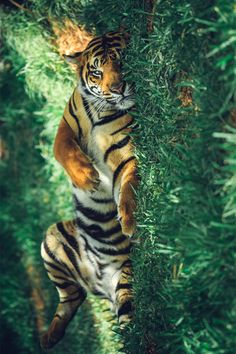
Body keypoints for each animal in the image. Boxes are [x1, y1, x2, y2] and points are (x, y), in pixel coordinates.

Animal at [39, 29, 137, 348]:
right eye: (97, 71)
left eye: (123, 59)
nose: (118, 88)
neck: (101, 111)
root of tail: (101, 284)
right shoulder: (66, 124)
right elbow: (62, 149)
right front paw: (87, 178)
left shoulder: (125, 152)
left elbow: (129, 185)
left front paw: (129, 222)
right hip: (50, 241)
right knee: (71, 296)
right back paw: (49, 337)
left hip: (126, 290)